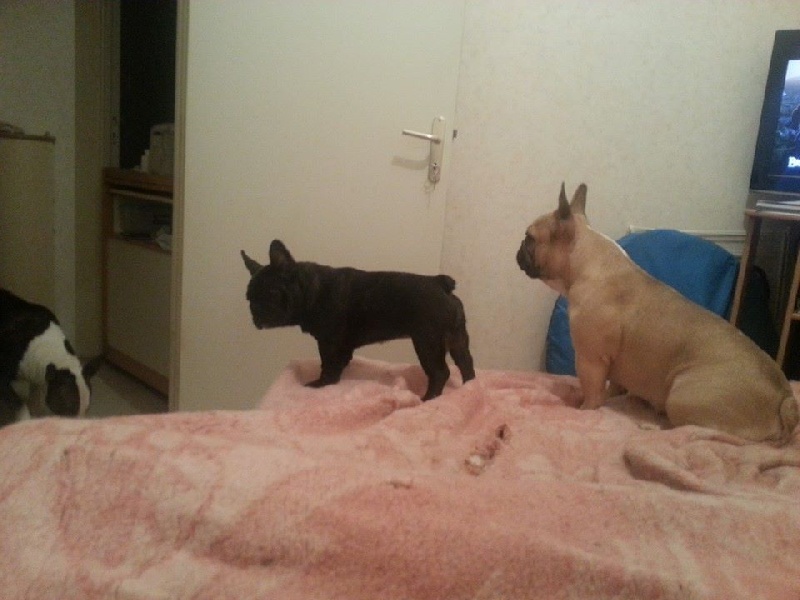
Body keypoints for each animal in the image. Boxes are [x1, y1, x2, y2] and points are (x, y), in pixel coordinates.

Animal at [0, 288, 102, 426]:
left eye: (86, 410)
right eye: (68, 412)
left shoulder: (36, 379)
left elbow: (34, 402)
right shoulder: (3, 380)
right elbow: (20, 406)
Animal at [242, 240, 475, 400]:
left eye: (270, 293)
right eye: (249, 299)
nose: (255, 312)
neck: (311, 289)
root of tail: (441, 284)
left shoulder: (328, 342)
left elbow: (327, 364)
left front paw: (322, 384)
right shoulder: (342, 345)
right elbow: (340, 361)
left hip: (427, 341)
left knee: (440, 372)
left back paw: (428, 399)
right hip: (457, 338)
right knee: (466, 364)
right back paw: (471, 388)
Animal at [516, 183, 799, 444]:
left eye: (529, 238)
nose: (518, 249)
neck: (588, 259)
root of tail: (784, 398)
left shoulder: (590, 359)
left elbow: (593, 395)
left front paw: (585, 408)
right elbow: (613, 384)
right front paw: (612, 396)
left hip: (682, 394)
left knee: (696, 432)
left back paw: (652, 428)